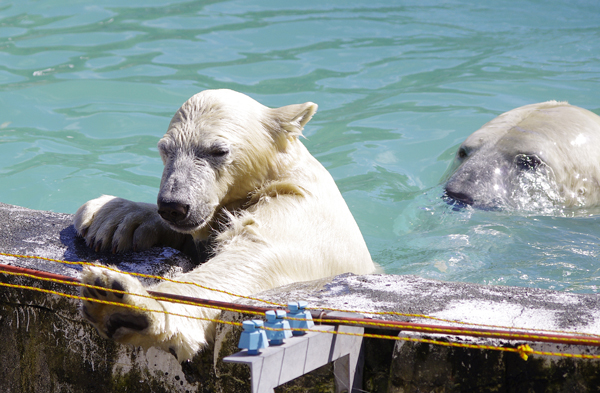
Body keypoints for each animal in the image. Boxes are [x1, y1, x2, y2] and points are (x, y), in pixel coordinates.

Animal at [74, 89, 376, 362]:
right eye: (165, 149)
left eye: (218, 151)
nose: (174, 205)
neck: (275, 177)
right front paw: (109, 216)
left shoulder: (295, 214)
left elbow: (248, 258)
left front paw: (122, 302)